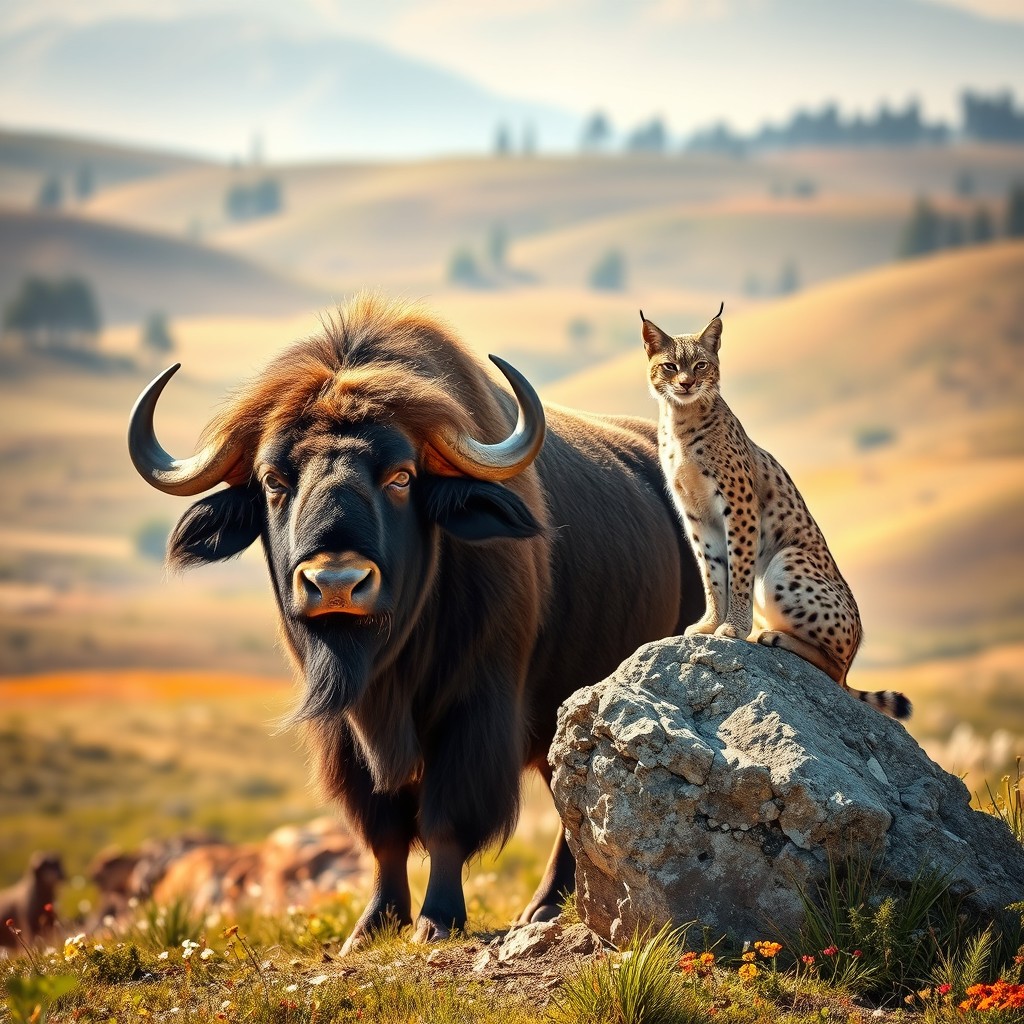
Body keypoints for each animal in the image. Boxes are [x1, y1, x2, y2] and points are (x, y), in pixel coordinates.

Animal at [128, 294, 701, 949]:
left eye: (400, 476)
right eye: (274, 480)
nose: (336, 583)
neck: (389, 666)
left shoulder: (475, 712)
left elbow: (447, 818)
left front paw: (436, 919)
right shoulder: (346, 731)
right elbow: (384, 830)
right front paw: (373, 924)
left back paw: (541, 909)